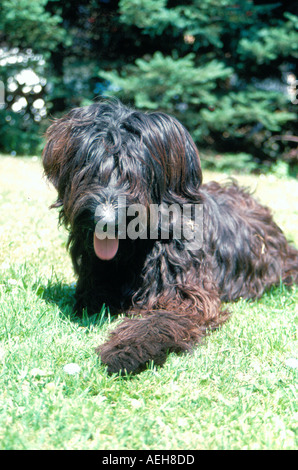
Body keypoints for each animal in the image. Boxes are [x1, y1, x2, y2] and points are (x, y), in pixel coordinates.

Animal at [42, 99, 298, 374]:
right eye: (90, 170)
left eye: (134, 175)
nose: (106, 221)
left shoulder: (187, 296)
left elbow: (158, 319)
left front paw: (126, 350)